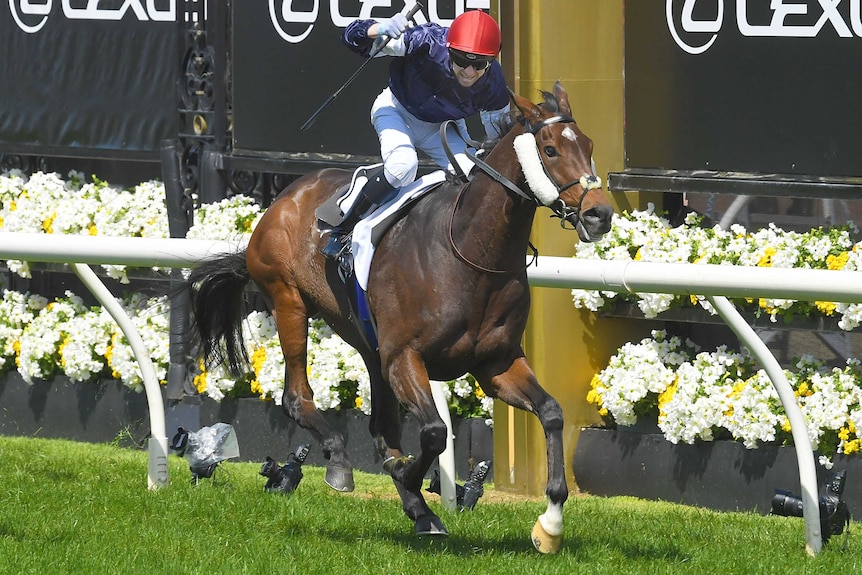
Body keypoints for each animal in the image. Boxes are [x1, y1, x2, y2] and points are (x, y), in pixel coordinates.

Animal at [191, 81, 616, 552]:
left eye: (589, 146)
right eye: (550, 149)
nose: (600, 213)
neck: (471, 253)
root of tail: (286, 195)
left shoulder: (496, 364)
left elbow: (552, 413)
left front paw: (550, 524)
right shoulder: (405, 357)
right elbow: (433, 432)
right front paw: (408, 476)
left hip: (367, 343)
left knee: (382, 426)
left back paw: (419, 511)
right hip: (289, 301)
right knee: (298, 397)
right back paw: (340, 459)